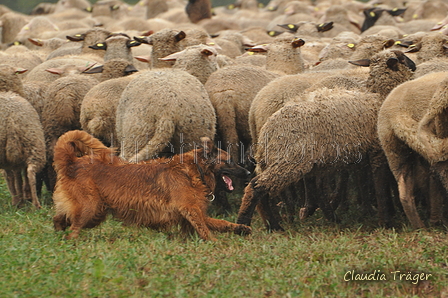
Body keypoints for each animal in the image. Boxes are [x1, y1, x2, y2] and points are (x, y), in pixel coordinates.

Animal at [51, 130, 252, 240]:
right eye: (230, 162)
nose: (249, 173)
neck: (195, 170)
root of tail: (72, 162)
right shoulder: (190, 210)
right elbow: (206, 231)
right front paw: (217, 244)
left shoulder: (194, 214)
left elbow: (221, 223)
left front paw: (241, 229)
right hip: (90, 209)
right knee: (73, 230)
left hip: (94, 212)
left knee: (59, 219)